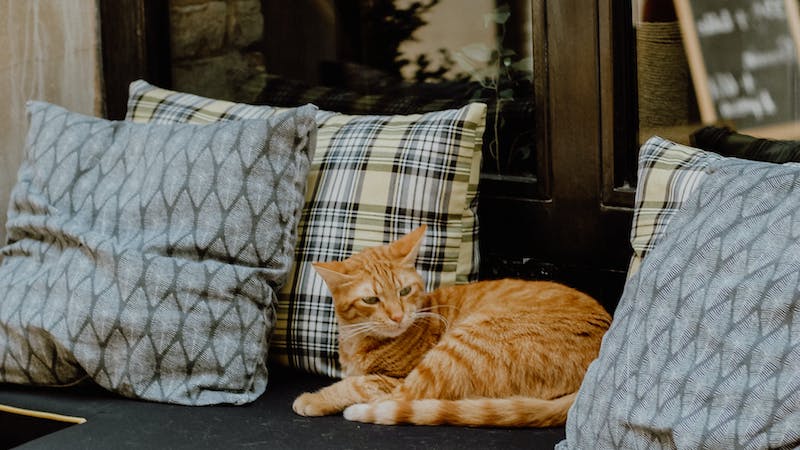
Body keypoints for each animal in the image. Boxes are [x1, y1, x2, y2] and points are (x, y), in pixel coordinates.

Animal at [290, 227, 608, 428]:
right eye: (371, 299)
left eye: (404, 291)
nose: (397, 316)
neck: (355, 341)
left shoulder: (390, 378)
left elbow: (357, 383)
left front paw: (316, 398)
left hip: (459, 346)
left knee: (404, 399)